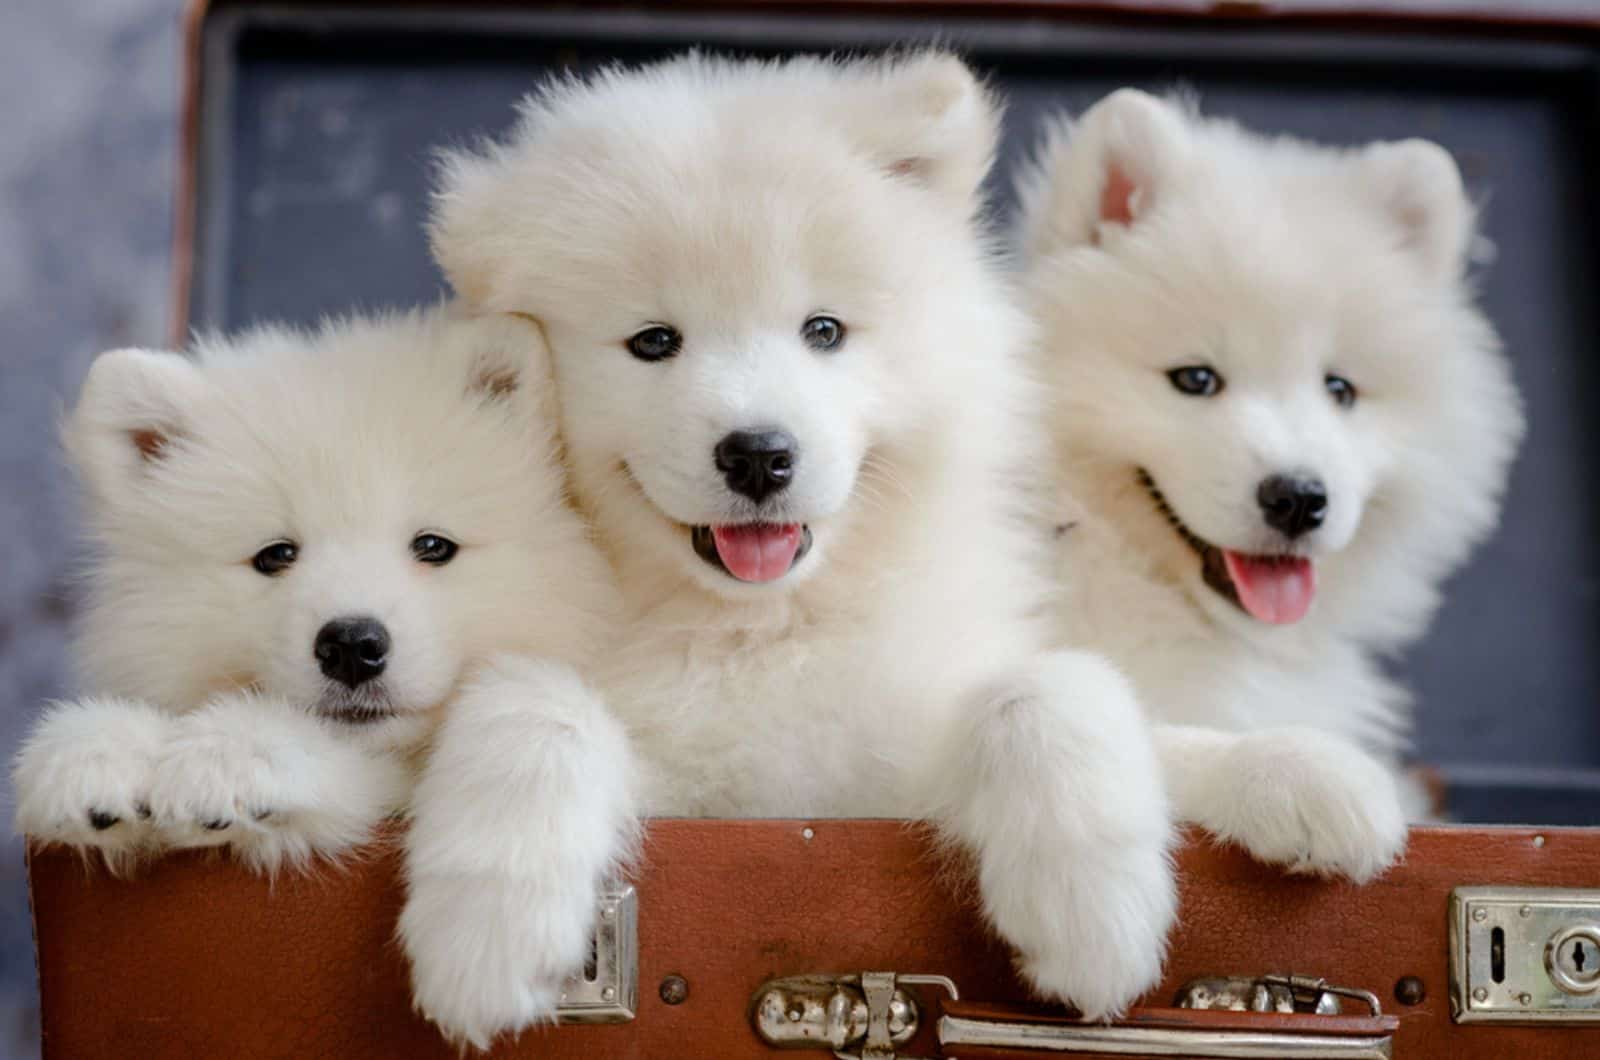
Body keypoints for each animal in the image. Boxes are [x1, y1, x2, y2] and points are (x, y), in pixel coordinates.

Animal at [400, 52, 1177, 1056]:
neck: (760, 632)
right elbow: (533, 707)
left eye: (824, 331)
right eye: (654, 341)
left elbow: (1047, 687)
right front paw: (485, 938)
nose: (759, 454)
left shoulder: (888, 766)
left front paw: (1095, 916)